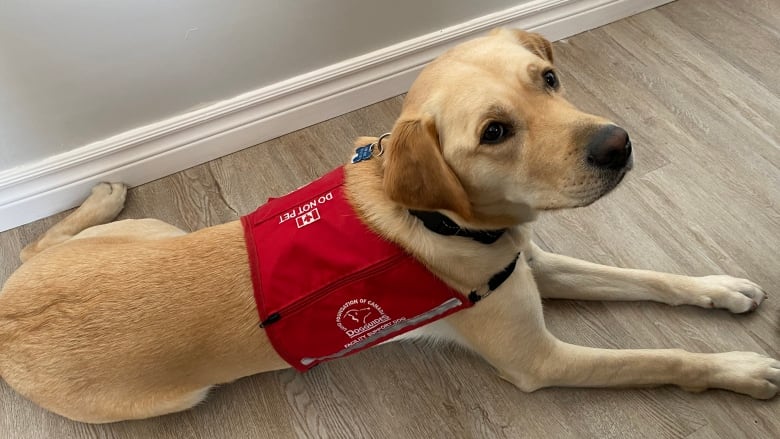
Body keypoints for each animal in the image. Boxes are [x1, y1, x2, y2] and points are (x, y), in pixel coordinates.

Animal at [1, 28, 780, 426]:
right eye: (494, 132)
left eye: (548, 79)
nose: (618, 145)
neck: (442, 218)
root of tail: (6, 321)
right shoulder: (541, 360)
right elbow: (662, 356)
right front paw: (738, 369)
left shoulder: (529, 264)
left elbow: (647, 275)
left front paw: (719, 287)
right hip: (166, 391)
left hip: (156, 229)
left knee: (41, 243)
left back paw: (102, 194)